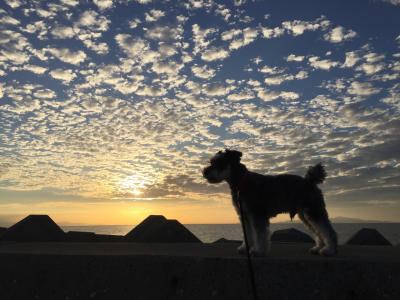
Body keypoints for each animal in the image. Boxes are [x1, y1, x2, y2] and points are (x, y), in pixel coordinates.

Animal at [203, 149, 338, 256]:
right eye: (211, 161)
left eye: (220, 162)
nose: (204, 172)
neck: (241, 182)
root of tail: (310, 181)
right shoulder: (245, 216)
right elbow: (248, 234)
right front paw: (244, 248)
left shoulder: (257, 215)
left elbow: (260, 235)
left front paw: (258, 251)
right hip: (306, 215)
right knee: (318, 231)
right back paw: (318, 248)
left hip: (314, 211)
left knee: (327, 231)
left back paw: (330, 250)